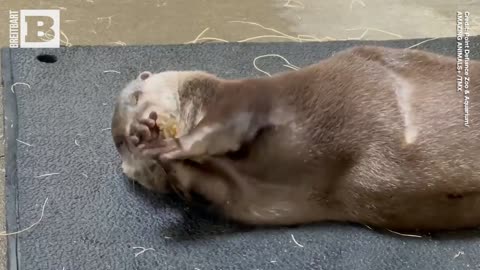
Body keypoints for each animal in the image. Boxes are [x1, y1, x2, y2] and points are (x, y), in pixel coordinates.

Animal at [110, 45, 478, 231]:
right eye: (121, 144)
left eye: (136, 96)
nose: (134, 131)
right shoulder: (237, 195)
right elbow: (207, 189)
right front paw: (166, 160)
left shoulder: (250, 98)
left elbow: (225, 124)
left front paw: (165, 143)